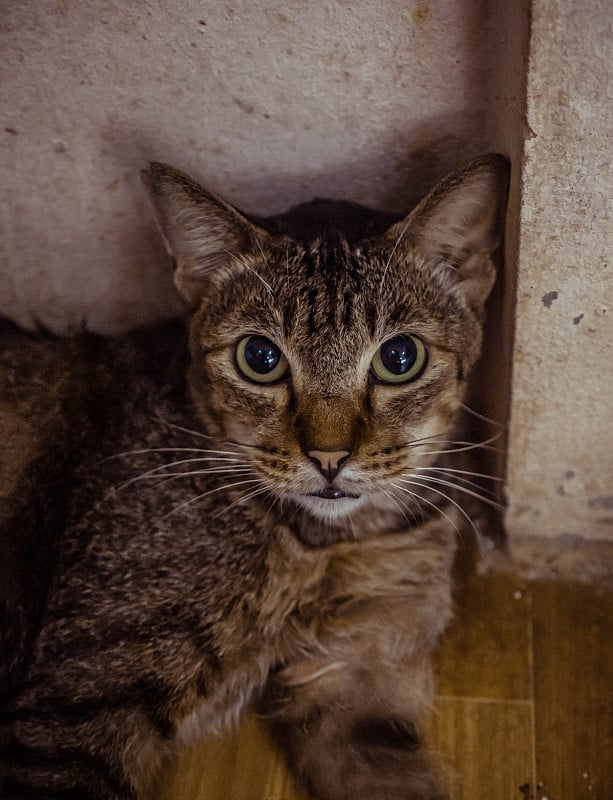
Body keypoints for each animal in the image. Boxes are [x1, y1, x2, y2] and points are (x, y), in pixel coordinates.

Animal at [0, 153, 506, 796]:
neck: (324, 546)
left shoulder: (357, 678)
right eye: (260, 359)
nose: (329, 457)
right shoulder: (77, 705)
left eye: (399, 358)